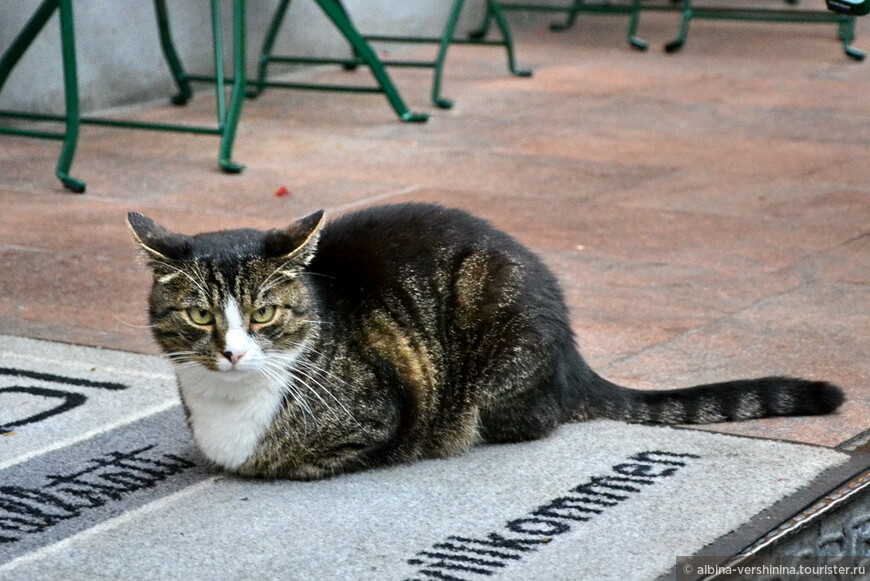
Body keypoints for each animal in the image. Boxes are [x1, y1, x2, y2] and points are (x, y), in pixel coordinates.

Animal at [127, 206, 844, 478]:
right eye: (199, 316)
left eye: (264, 312)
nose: (232, 352)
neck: (229, 406)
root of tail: (572, 352)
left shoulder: (382, 420)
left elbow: (295, 461)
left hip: (494, 342)